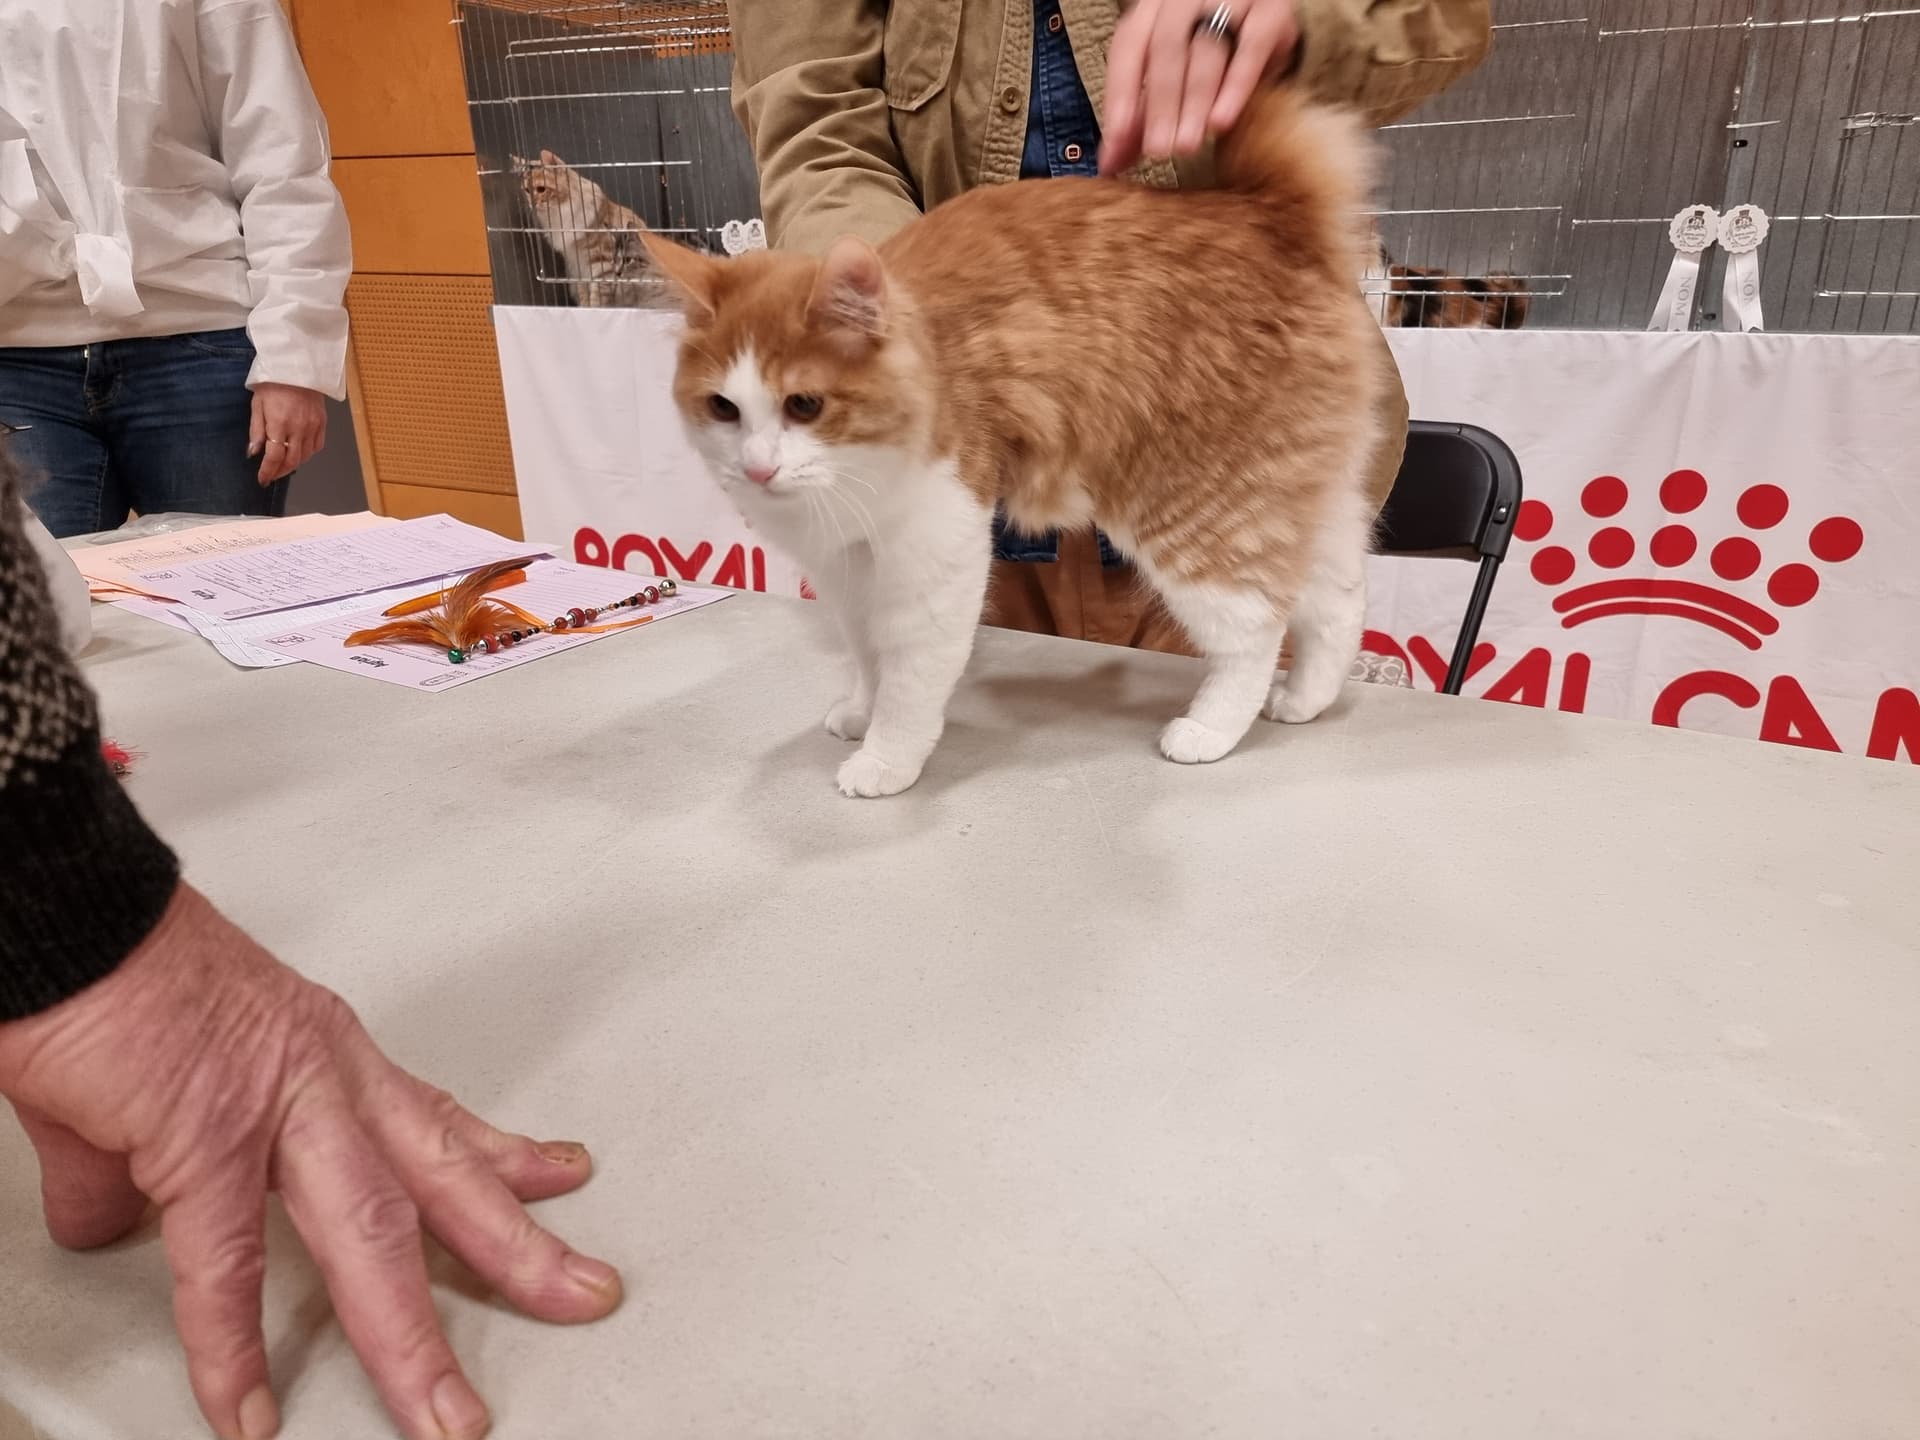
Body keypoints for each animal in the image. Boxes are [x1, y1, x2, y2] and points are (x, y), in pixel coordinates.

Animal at [514, 149, 652, 307]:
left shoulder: (602, 266)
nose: (532, 204)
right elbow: (584, 296)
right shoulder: (577, 267)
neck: (558, 216)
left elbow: (597, 298)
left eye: (541, 189)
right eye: (527, 190)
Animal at [642, 89, 1383, 799]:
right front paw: (861, 710)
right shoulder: (847, 572)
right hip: (1278, 492)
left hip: (1193, 509)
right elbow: (867, 658)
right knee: (1337, 601)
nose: (757, 470)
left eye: (804, 405)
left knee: (1255, 631)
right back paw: (1306, 699)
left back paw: (1209, 729)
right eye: (724, 409)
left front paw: (885, 759)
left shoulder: (935, 555)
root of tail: (1266, 209)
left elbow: (908, 682)